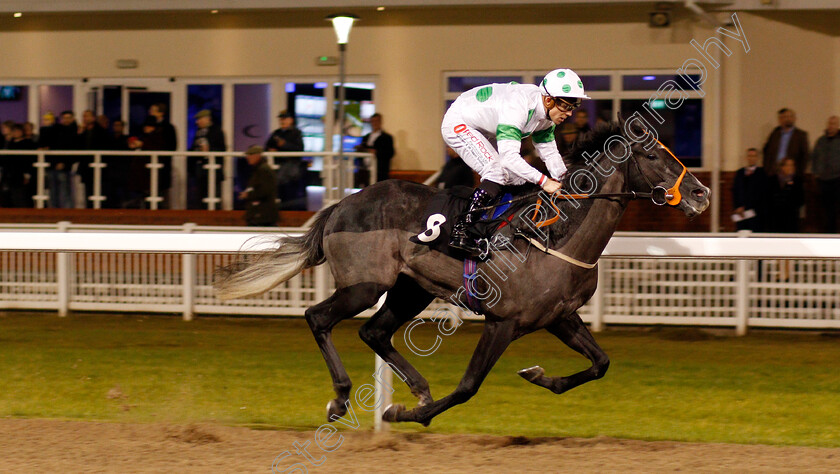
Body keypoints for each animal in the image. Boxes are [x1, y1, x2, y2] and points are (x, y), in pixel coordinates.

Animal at [215, 116, 708, 428]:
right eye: (653, 155)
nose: (701, 193)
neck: (557, 235)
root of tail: (342, 204)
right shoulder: (502, 321)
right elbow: (469, 386)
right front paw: (401, 414)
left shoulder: (559, 317)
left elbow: (601, 363)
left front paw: (539, 376)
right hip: (365, 285)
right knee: (318, 318)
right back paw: (341, 397)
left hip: (409, 290)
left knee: (374, 332)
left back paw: (418, 387)